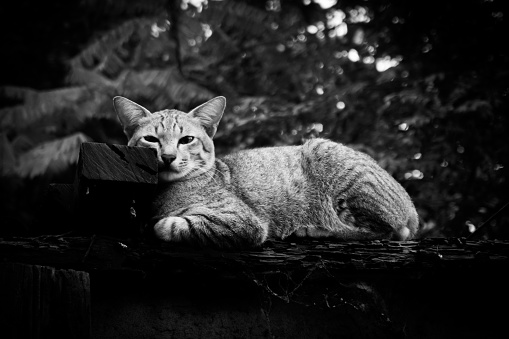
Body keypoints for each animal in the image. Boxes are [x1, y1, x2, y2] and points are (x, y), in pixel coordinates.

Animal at [113, 95, 418, 250]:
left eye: (186, 140)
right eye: (151, 139)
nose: (167, 157)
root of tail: (411, 208)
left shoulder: (243, 221)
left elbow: (171, 225)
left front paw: (157, 223)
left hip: (325, 153)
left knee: (384, 231)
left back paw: (314, 230)